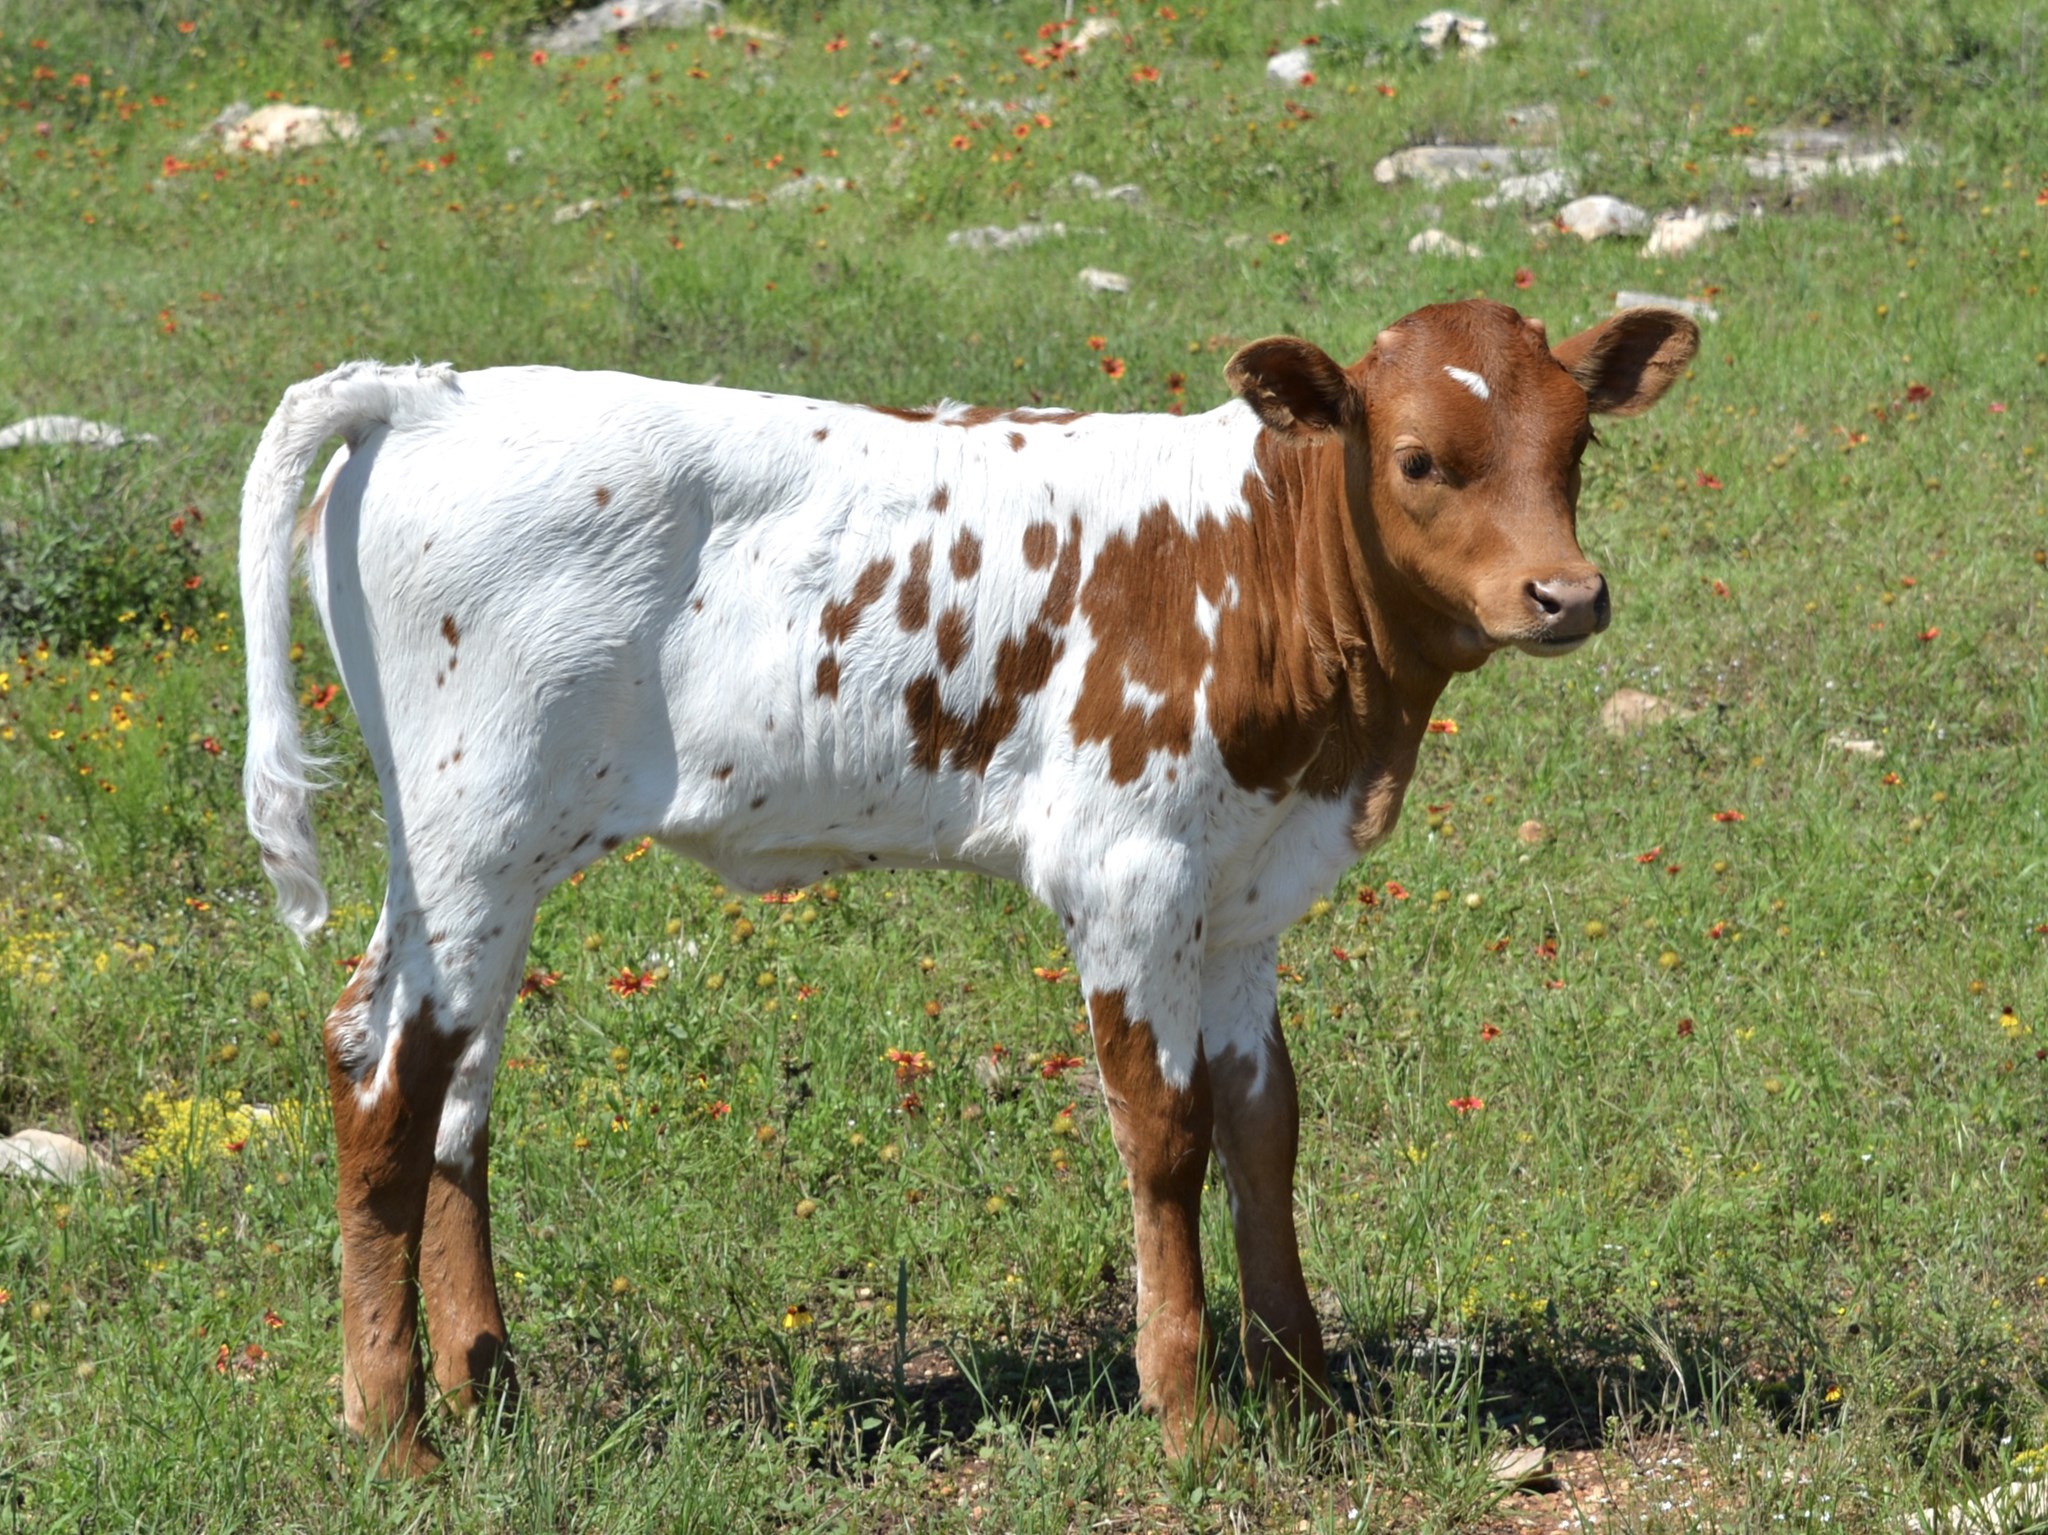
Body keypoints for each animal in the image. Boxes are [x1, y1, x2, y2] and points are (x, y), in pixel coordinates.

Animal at [239, 299, 1698, 1471]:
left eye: (1575, 447)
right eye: (1416, 459)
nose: (1566, 592)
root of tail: (433, 388)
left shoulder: (1245, 890)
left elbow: (1262, 1122)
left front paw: (1306, 1395)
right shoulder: (1128, 869)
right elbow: (1164, 1131)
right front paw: (1191, 1416)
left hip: (491, 855)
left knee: (454, 1084)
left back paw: (485, 1391)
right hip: (471, 826)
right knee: (381, 1067)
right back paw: (394, 1431)